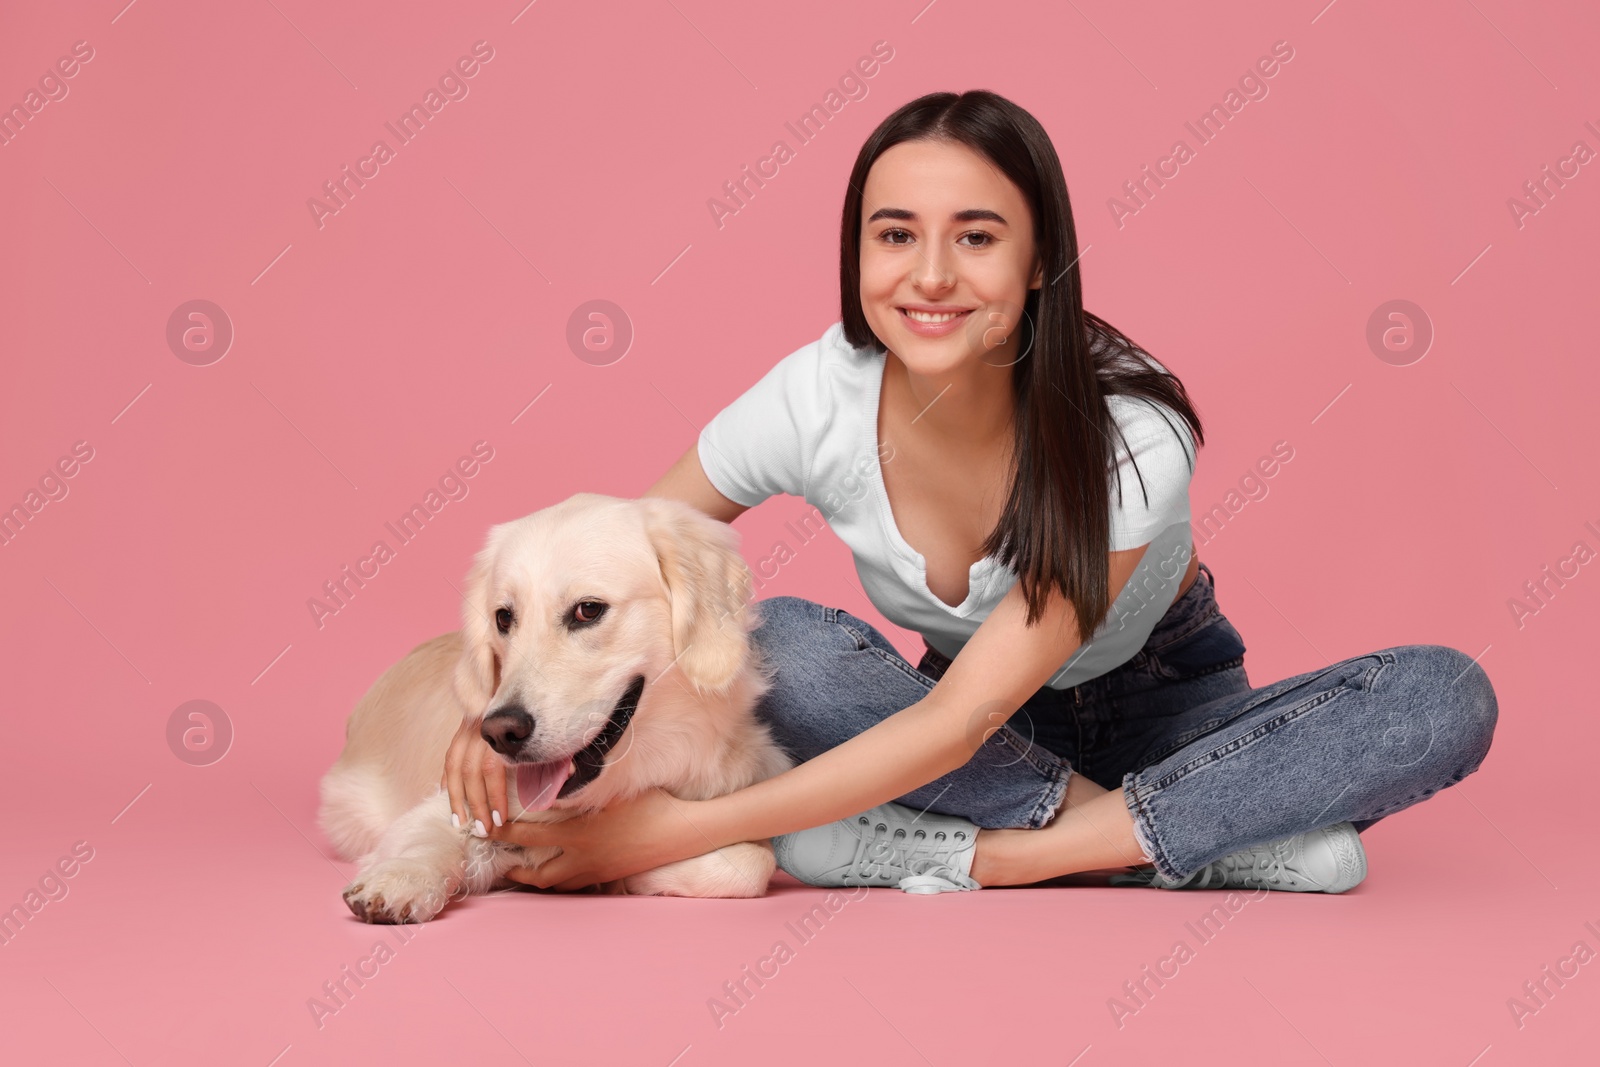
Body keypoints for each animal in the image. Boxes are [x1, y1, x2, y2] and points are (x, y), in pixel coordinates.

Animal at [315, 489, 790, 921]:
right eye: (503, 618)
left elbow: (752, 862)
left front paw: (627, 876)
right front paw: (399, 879)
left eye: (588, 610)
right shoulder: (459, 801)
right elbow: (426, 838)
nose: (500, 733)